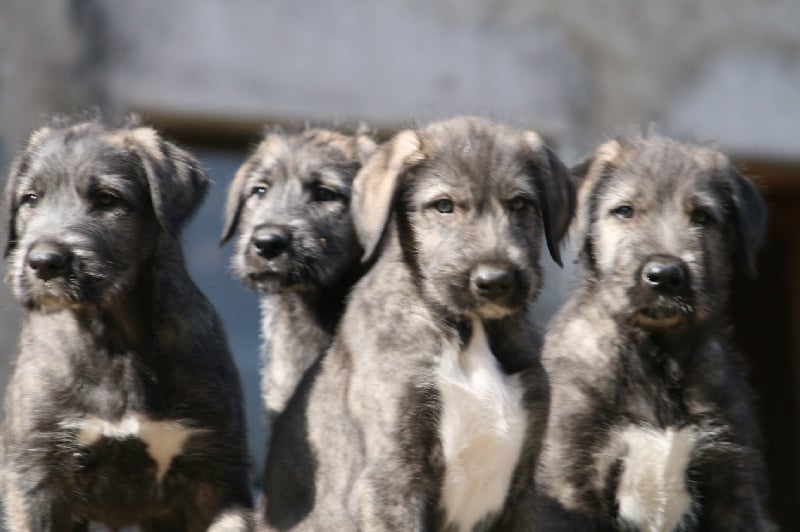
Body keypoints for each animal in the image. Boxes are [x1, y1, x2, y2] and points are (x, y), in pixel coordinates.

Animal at [0, 117, 253, 532]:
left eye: (107, 199)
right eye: (31, 199)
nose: (44, 262)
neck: (115, 339)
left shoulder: (218, 475)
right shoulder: (36, 474)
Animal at [262, 117, 576, 532]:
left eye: (520, 203)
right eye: (443, 205)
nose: (495, 281)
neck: (468, 333)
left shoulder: (522, 488)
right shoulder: (393, 478)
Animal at [536, 133, 776, 532]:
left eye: (701, 217)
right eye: (624, 211)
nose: (664, 275)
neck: (656, 357)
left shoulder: (732, 481)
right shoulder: (568, 477)